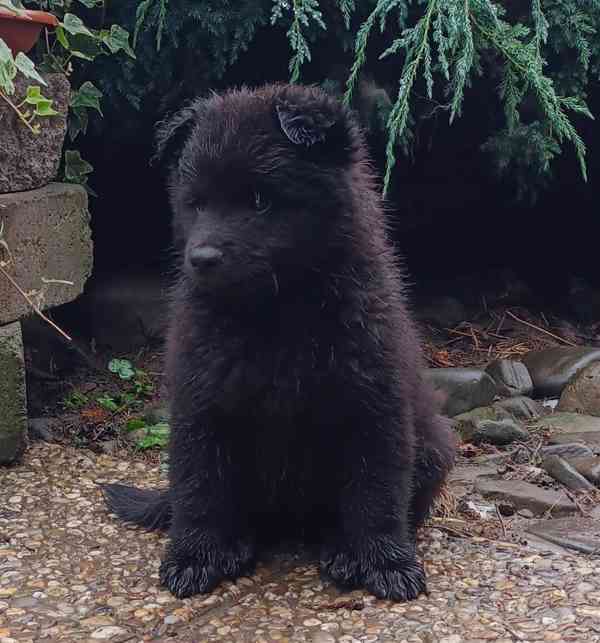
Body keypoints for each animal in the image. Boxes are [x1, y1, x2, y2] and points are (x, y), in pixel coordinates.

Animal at [105, 83, 458, 600]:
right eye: (197, 203)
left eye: (260, 200)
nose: (201, 258)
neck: (277, 312)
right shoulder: (202, 403)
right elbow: (200, 489)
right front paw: (195, 556)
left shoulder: (374, 405)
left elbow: (376, 494)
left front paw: (386, 562)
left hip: (433, 448)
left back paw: (343, 552)